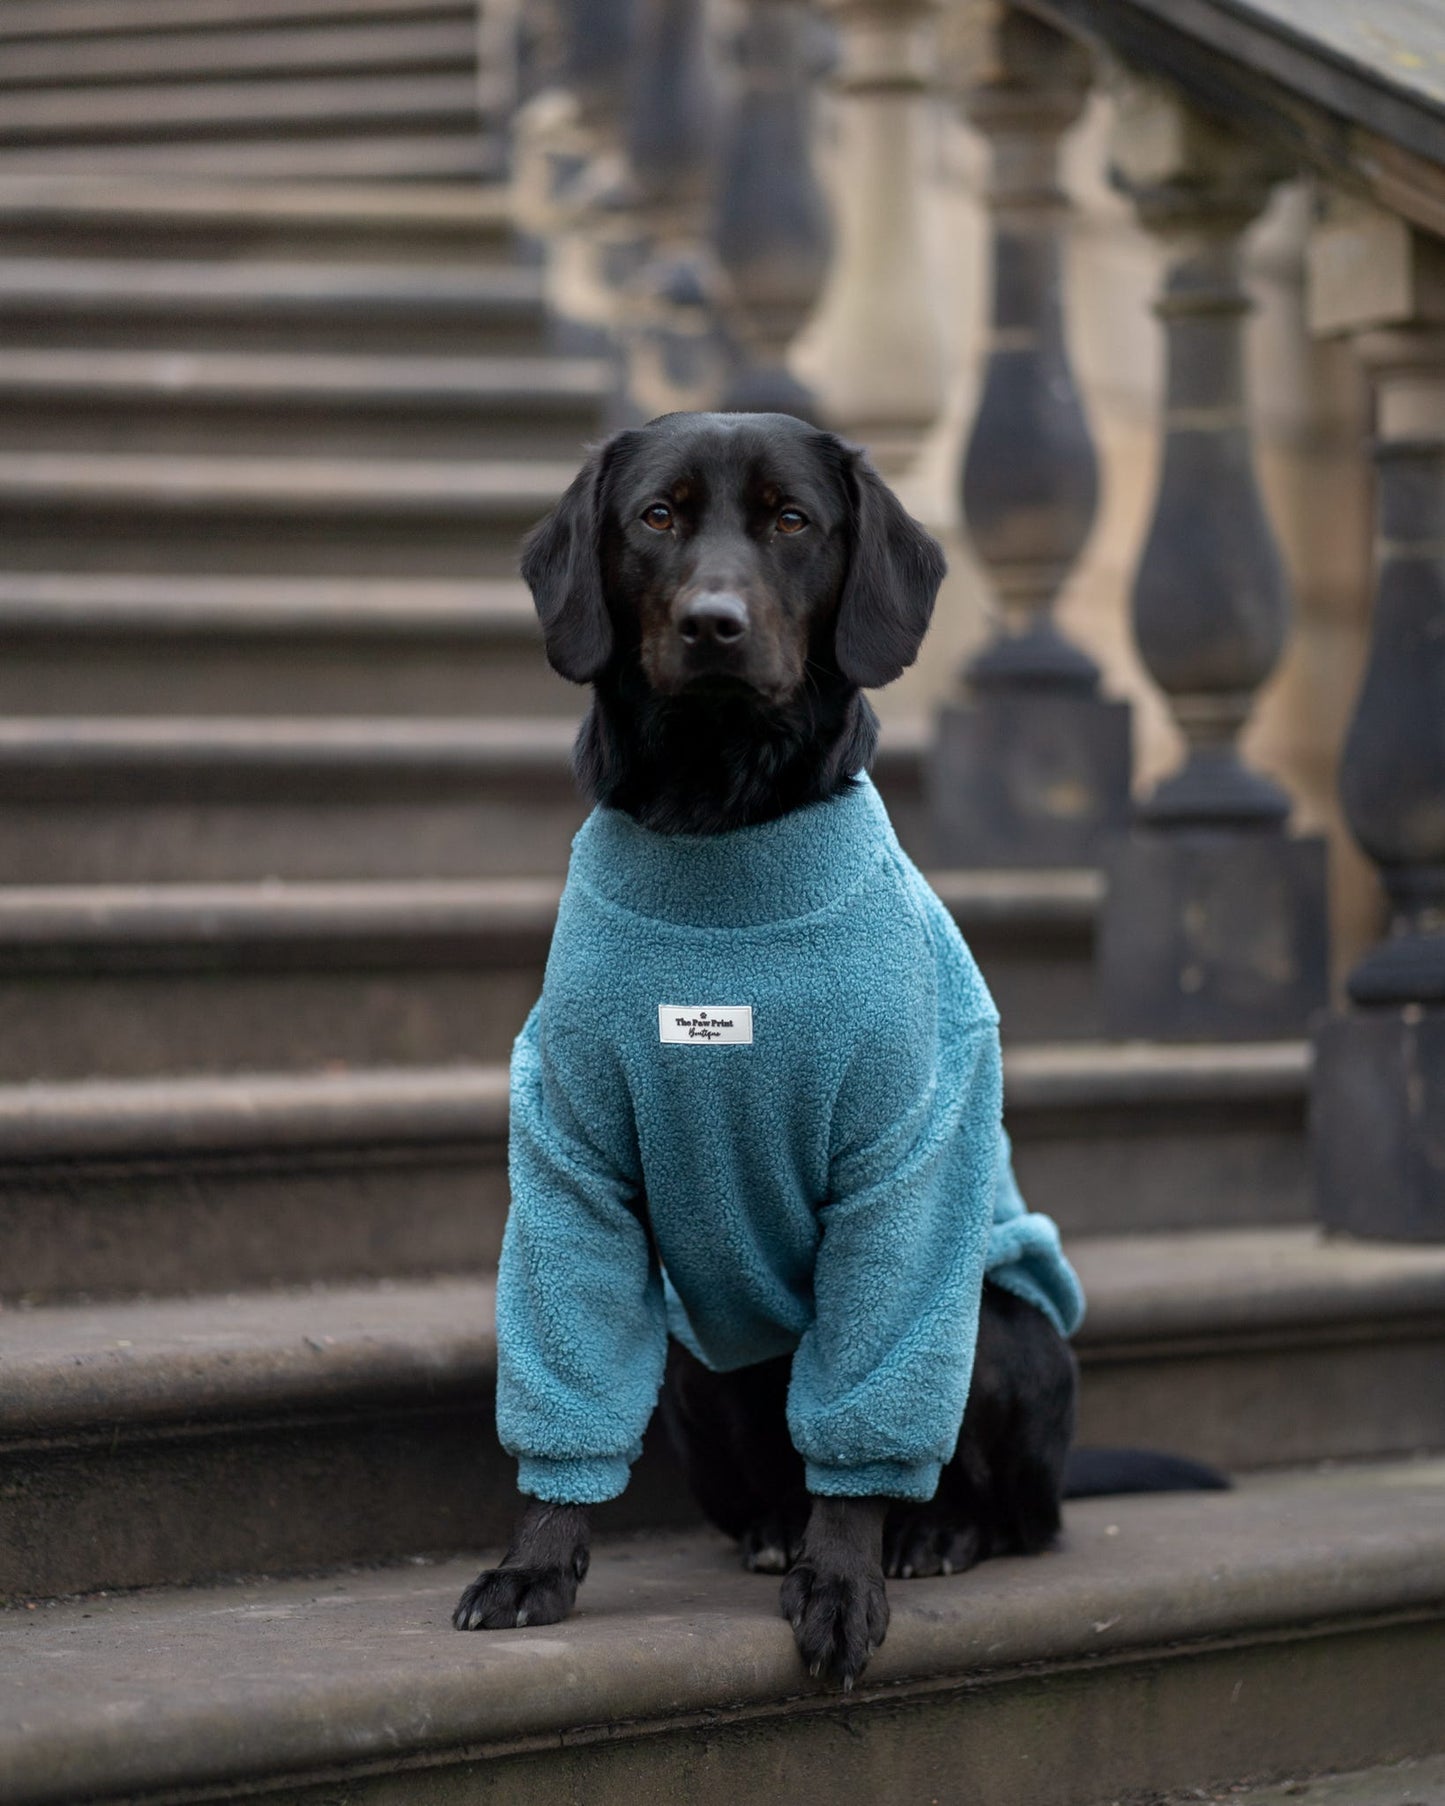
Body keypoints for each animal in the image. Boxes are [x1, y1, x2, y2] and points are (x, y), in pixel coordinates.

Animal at [451, 413, 1221, 1690]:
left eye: (790, 521)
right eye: (654, 518)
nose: (713, 622)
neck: (717, 829)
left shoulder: (899, 1172)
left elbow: (861, 1424)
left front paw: (844, 1580)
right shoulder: (571, 1162)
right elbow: (566, 1379)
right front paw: (533, 1563)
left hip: (999, 1331)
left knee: (1018, 1514)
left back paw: (931, 1535)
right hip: (699, 1374)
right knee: (763, 1481)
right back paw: (776, 1528)